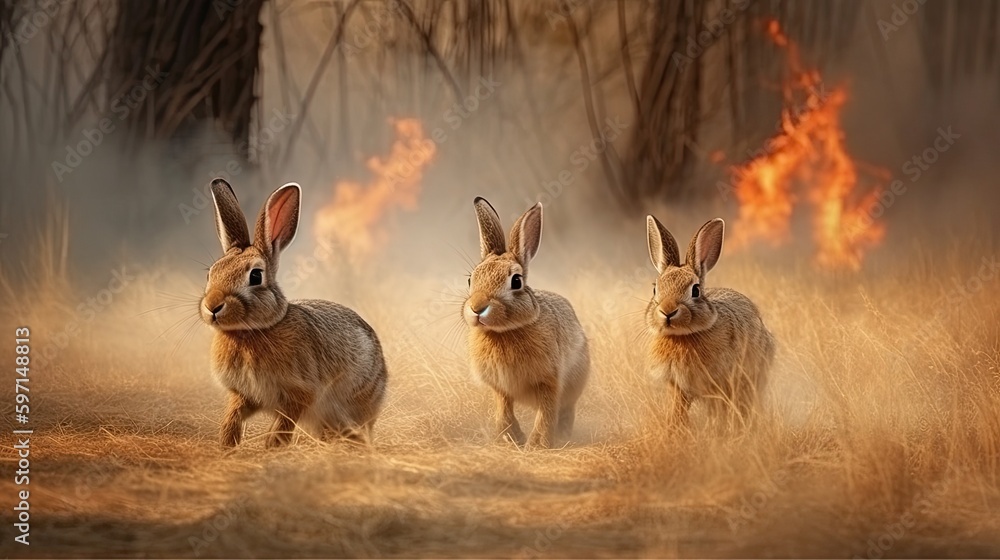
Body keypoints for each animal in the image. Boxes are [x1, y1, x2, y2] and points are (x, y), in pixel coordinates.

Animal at [200, 178, 388, 448]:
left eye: (255, 276)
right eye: (210, 273)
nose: (212, 306)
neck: (249, 333)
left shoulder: (300, 393)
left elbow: (284, 424)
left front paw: (272, 447)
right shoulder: (244, 395)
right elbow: (233, 416)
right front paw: (227, 444)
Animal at [463, 197, 590, 449]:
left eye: (516, 281)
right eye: (471, 279)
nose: (477, 308)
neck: (502, 332)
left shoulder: (549, 380)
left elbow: (546, 412)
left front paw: (537, 445)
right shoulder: (500, 387)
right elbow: (504, 409)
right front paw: (510, 439)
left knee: (565, 409)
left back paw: (563, 435)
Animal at [644, 216, 774, 426]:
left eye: (695, 290)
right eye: (655, 289)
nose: (668, 311)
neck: (682, 337)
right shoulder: (677, 386)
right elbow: (678, 408)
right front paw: (674, 426)